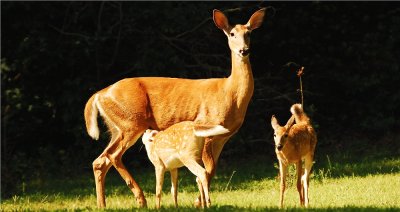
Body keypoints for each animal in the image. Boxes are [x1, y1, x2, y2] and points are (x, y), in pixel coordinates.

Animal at [84, 7, 266, 207]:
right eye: (232, 33)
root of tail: (99, 94)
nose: (244, 50)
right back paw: (141, 199)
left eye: (249, 33)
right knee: (113, 155)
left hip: (116, 128)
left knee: (99, 161)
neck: (230, 92)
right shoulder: (206, 126)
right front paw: (200, 202)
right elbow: (207, 169)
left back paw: (102, 204)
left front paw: (198, 201)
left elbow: (211, 170)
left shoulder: (222, 138)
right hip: (131, 122)